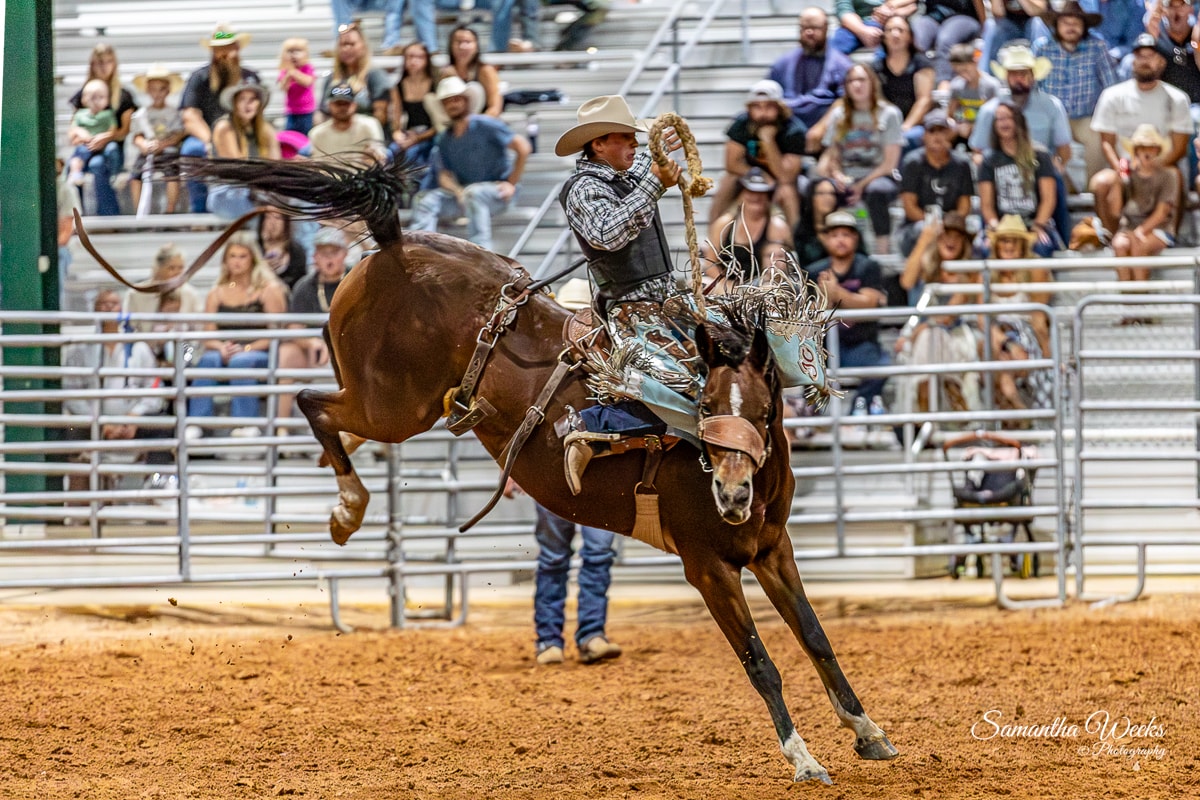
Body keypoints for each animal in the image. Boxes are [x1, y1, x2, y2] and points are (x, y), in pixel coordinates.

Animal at [176, 156, 899, 783]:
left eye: (765, 408)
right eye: (706, 404)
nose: (731, 493)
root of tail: (395, 248)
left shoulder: (772, 547)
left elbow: (816, 637)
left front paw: (868, 731)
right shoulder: (708, 565)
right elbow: (760, 661)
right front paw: (803, 759)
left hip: (403, 407)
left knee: (330, 418)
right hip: (389, 405)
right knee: (312, 404)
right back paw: (347, 509)